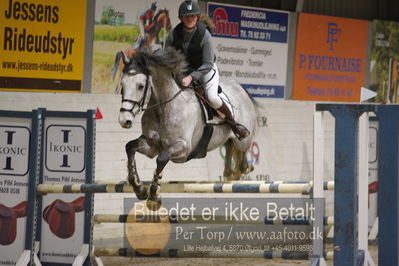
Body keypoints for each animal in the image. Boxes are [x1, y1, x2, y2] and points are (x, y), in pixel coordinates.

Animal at [117, 47, 258, 210]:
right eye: (122, 85)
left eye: (140, 86)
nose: (124, 120)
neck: (162, 108)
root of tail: (240, 87)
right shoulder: (151, 146)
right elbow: (130, 147)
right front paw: (138, 187)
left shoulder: (183, 149)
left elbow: (162, 158)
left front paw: (153, 196)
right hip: (227, 137)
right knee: (229, 146)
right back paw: (231, 173)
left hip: (243, 137)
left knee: (244, 146)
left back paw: (244, 166)